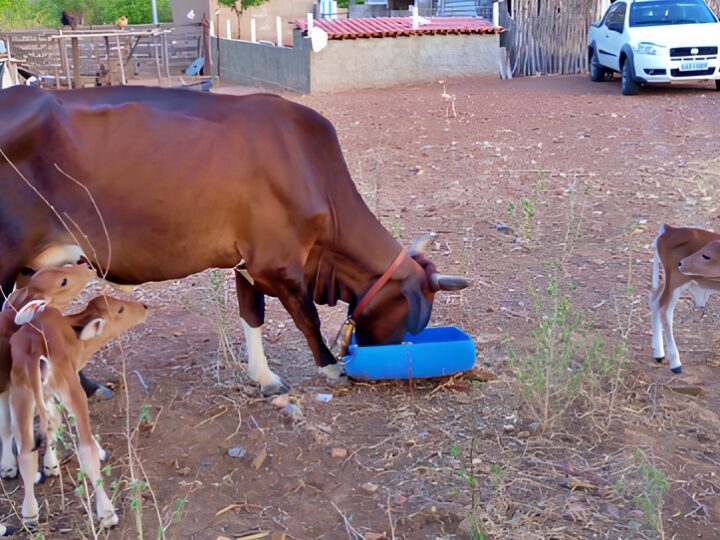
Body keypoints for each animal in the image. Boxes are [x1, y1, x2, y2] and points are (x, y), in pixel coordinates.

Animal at [0, 85, 470, 396]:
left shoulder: (249, 262)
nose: (383, 358)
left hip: (34, 270)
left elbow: (252, 314)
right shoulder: (277, 262)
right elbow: (307, 318)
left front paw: (263, 377)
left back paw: (88, 386)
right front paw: (330, 368)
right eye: (412, 318)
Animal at [10, 296, 148, 528]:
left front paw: (50, 465)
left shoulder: (48, 397)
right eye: (120, 309)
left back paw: (30, 515)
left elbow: (52, 424)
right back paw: (108, 514)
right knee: (85, 449)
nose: (145, 307)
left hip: (22, 396)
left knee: (26, 454)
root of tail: (34, 350)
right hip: (72, 391)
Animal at [648, 223, 720, 372]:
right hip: (676, 280)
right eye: (706, 256)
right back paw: (675, 363)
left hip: (671, 282)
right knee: (664, 309)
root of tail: (669, 229)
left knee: (654, 299)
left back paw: (658, 354)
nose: (682, 263)